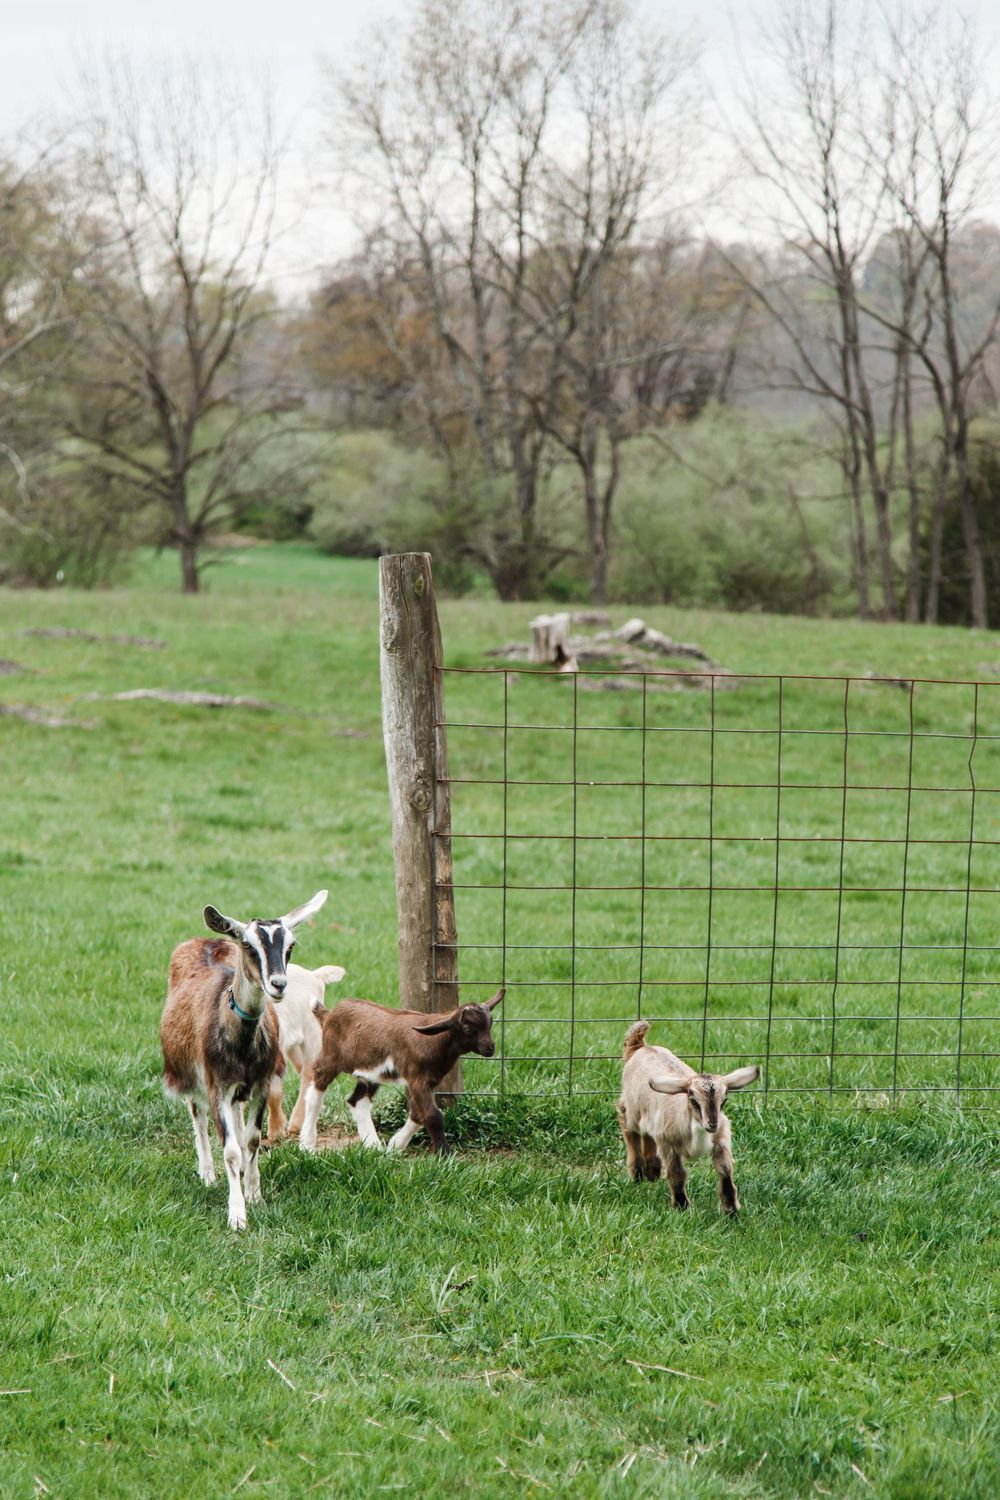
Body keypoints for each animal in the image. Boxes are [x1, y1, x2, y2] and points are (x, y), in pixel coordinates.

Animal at [160, 889, 328, 1230]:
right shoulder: (217, 1086)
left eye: (290, 945)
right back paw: (207, 1173)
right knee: (197, 1116)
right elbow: (231, 1150)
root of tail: (204, 939)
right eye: (248, 945)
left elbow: (250, 1141)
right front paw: (237, 1215)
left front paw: (254, 1194)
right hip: (190, 1074)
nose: (278, 984)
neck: (242, 1044)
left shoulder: (261, 1083)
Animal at [265, 962, 346, 1143]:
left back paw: (296, 1125)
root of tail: (314, 975)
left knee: (309, 1072)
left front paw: (276, 1132)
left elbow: (273, 1093)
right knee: (303, 1069)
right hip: (293, 1045)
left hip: (313, 1033)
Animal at [297, 988, 504, 1155]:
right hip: (330, 1057)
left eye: (490, 1024)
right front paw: (446, 1155)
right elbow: (433, 1115)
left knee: (357, 1101)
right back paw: (307, 1143)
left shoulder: (429, 1081)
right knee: (315, 1092)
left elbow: (418, 1114)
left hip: (370, 1073)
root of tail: (329, 1014)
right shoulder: (417, 1078)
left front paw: (395, 1146)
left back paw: (373, 1146)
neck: (435, 1041)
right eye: (468, 1029)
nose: (490, 1049)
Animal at [617, 1021, 759, 1214]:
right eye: (693, 1100)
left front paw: (731, 1211)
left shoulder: (721, 1139)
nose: (712, 1123)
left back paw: (653, 1171)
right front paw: (681, 1206)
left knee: (647, 1134)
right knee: (628, 1126)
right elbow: (677, 1174)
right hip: (632, 1109)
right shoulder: (668, 1143)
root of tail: (640, 1046)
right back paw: (637, 1173)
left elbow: (725, 1170)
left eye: (724, 1100)